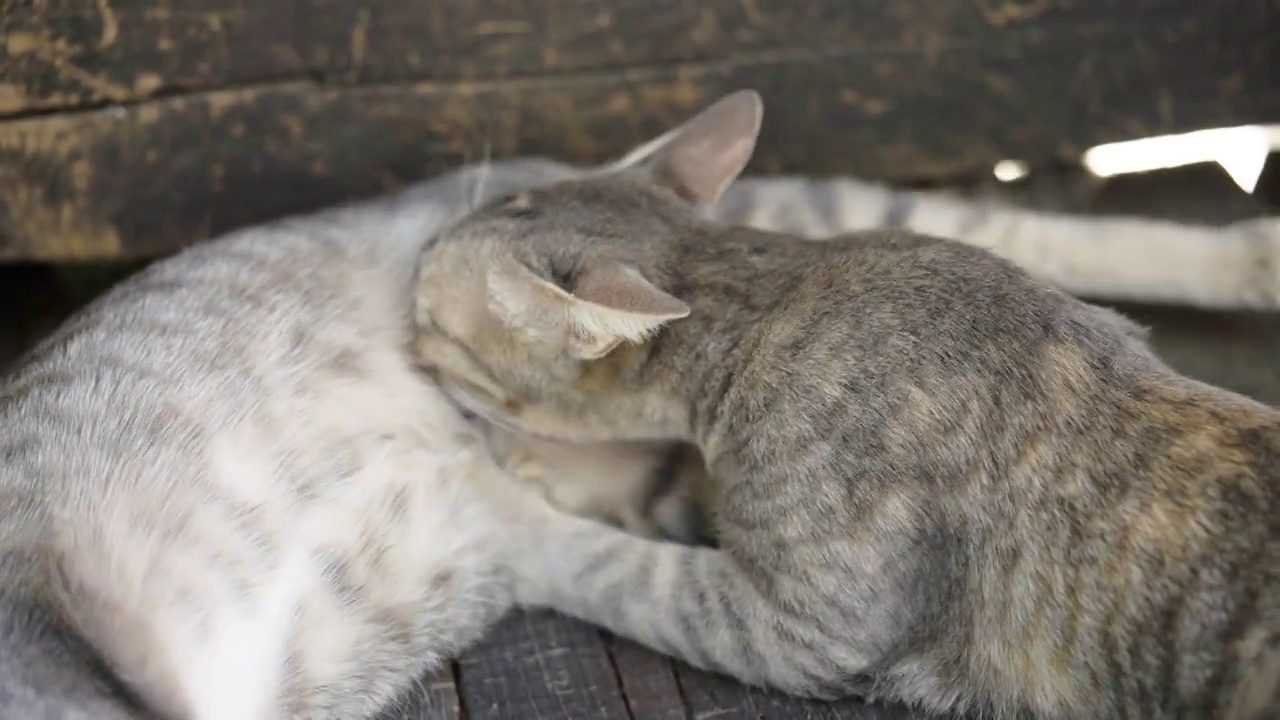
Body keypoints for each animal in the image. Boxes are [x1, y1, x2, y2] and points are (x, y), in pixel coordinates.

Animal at [414, 89, 1274, 717]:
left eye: (430, 314)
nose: (412, 258)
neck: (774, 286)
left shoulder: (802, 629)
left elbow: (615, 570)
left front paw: (507, 498)